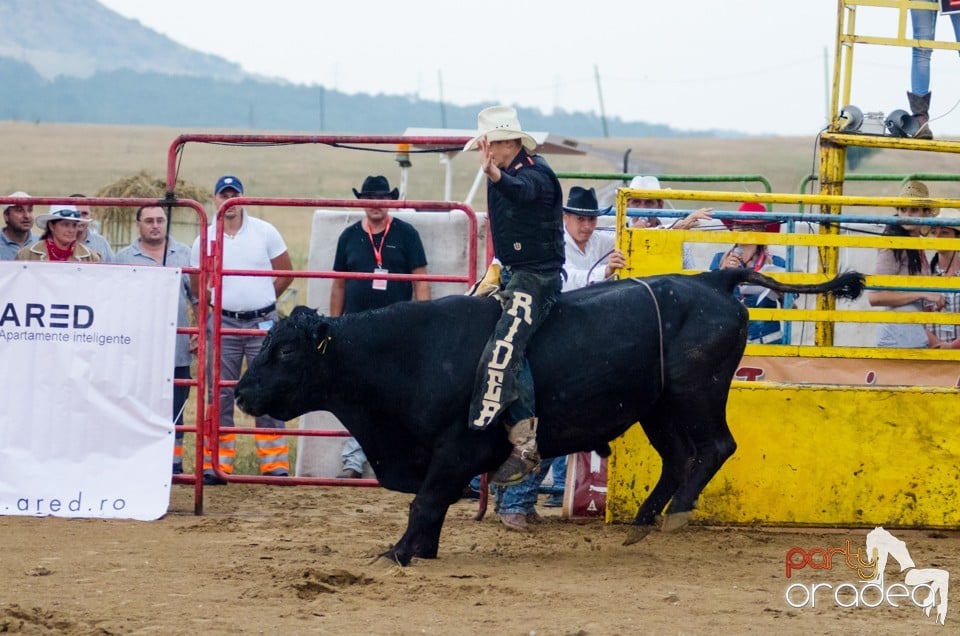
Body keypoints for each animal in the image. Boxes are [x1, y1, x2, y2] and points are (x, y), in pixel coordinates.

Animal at [236, 268, 868, 560]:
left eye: (285, 352)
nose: (241, 394)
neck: (409, 352)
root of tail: (713, 279)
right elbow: (431, 505)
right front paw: (420, 549)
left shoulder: (456, 449)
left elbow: (426, 501)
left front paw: (401, 552)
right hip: (657, 408)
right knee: (677, 459)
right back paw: (642, 521)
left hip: (697, 394)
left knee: (714, 448)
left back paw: (674, 517)